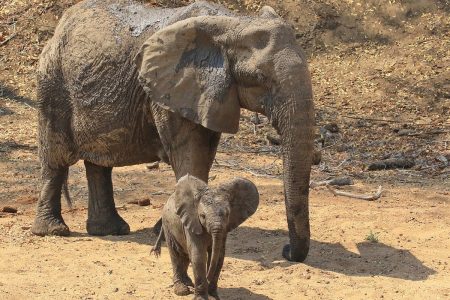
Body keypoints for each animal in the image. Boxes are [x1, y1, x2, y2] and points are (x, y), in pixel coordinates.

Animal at [32, 0, 312, 262]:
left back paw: (111, 230)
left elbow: (203, 154)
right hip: (52, 83)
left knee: (99, 163)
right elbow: (189, 153)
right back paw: (53, 231)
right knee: (56, 159)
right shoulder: (169, 89)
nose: (286, 251)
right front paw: (177, 230)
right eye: (259, 78)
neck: (234, 23)